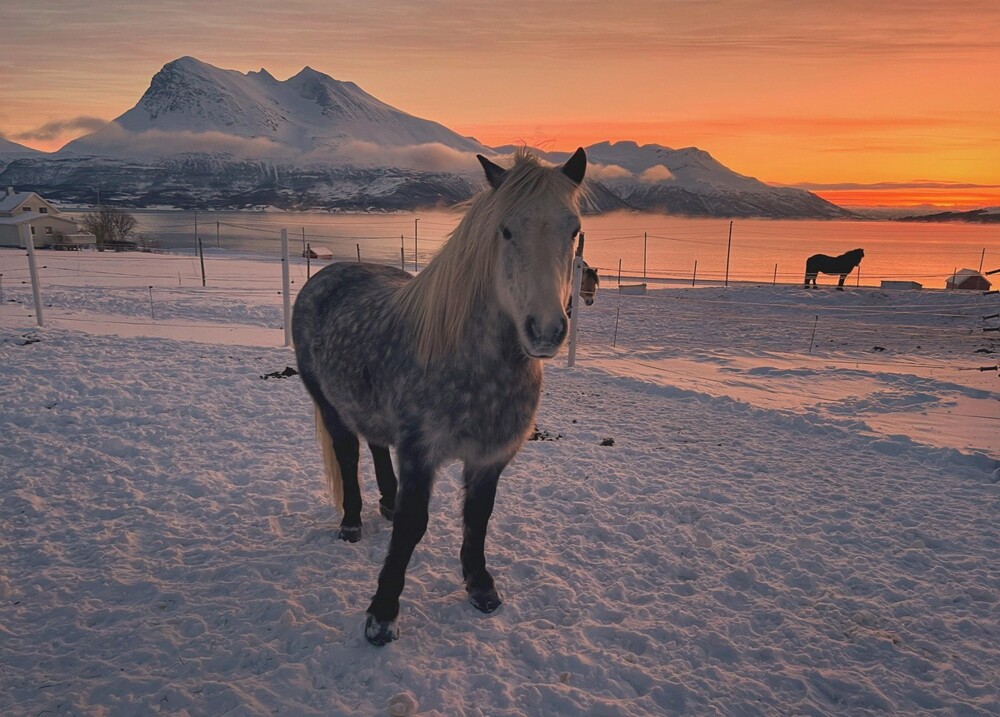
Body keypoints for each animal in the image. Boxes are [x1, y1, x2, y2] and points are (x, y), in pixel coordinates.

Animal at [292, 147, 584, 644]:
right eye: (505, 230)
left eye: (574, 230)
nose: (546, 331)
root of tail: (326, 274)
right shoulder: (420, 451)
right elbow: (414, 524)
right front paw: (382, 614)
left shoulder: (490, 457)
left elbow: (478, 518)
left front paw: (480, 587)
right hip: (328, 404)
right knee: (348, 453)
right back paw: (352, 522)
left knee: (376, 444)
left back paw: (386, 503)